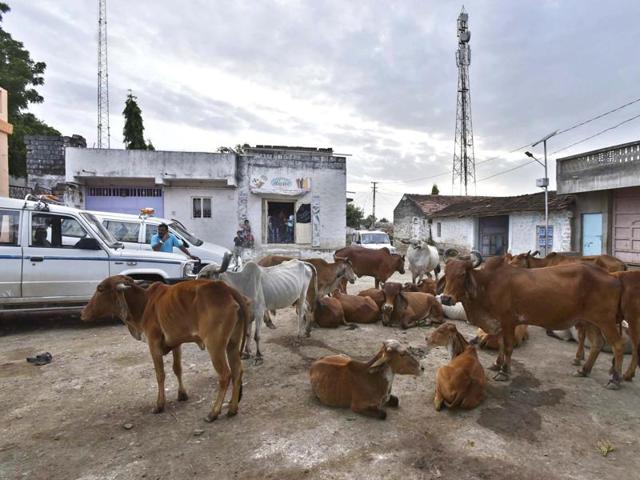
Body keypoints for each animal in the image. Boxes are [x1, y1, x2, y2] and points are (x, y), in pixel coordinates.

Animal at [80, 276, 250, 422]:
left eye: (100, 289)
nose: (82, 313)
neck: (144, 303)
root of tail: (226, 288)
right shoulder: (176, 343)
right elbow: (177, 369)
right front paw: (182, 394)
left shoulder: (153, 343)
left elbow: (160, 374)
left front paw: (159, 405)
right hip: (232, 344)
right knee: (237, 371)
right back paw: (232, 409)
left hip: (215, 345)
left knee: (225, 375)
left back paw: (213, 413)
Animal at [442, 253, 628, 388]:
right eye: (446, 274)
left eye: (462, 274)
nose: (445, 298)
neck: (487, 284)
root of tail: (613, 277)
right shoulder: (499, 323)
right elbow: (501, 345)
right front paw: (497, 364)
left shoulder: (508, 321)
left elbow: (507, 346)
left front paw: (504, 371)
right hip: (590, 321)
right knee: (597, 343)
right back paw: (584, 370)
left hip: (605, 321)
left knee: (618, 345)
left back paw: (615, 379)